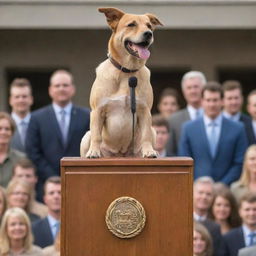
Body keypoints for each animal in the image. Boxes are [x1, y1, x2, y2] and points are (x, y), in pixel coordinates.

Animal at [80, 6, 162, 158]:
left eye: (149, 26)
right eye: (131, 24)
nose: (148, 34)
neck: (126, 72)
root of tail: (120, 155)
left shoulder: (145, 111)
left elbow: (146, 134)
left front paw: (149, 151)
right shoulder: (97, 110)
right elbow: (96, 135)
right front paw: (94, 151)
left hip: (153, 132)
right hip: (86, 136)